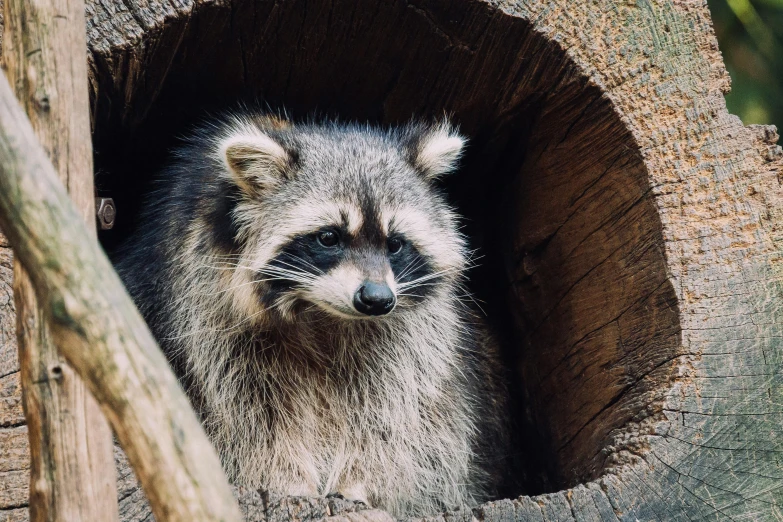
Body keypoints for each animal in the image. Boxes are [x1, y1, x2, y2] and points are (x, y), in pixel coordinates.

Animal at [113, 111, 512, 512]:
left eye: (395, 244)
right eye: (329, 237)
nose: (377, 299)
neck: (321, 314)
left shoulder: (413, 339)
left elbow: (393, 414)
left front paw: (359, 481)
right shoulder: (201, 309)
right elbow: (247, 414)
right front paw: (286, 479)